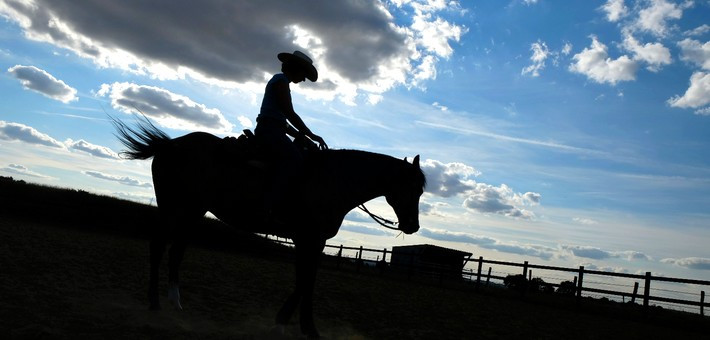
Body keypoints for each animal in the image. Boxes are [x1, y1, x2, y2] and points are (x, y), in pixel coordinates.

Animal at [110, 117, 422, 338]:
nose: (413, 225)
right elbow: (305, 280)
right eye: (413, 188)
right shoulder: (308, 238)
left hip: (193, 210)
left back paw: (175, 302)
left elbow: (306, 280)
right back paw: (154, 303)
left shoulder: (313, 241)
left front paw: (293, 325)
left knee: (177, 250)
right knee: (159, 246)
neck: (332, 180)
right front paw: (297, 327)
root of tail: (171, 144)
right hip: (172, 207)